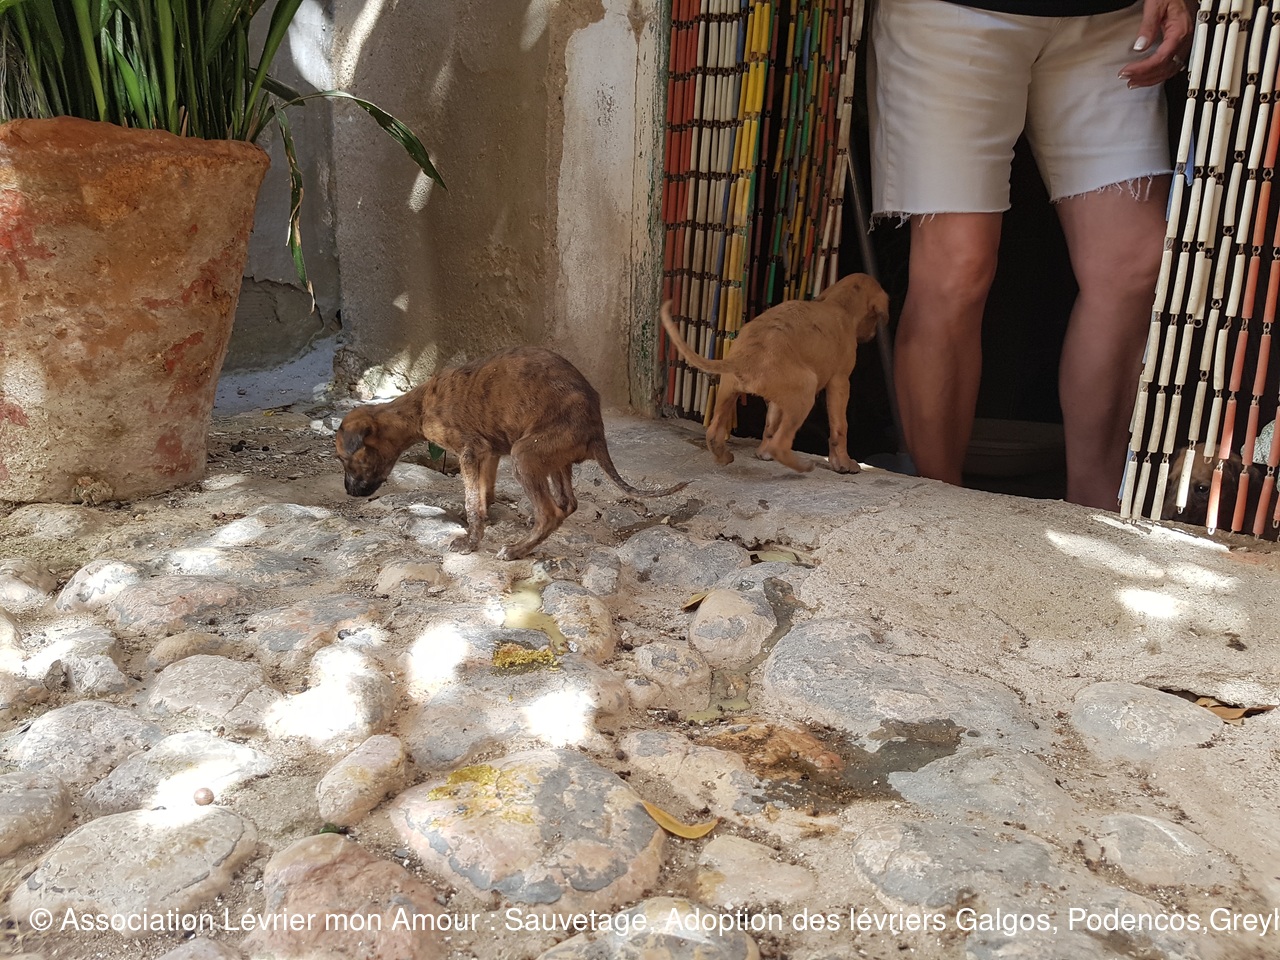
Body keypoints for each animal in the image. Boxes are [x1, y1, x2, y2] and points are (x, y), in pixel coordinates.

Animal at [336, 346, 689, 560]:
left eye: (344, 458)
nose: (349, 492)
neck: (418, 407)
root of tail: (597, 431)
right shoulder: (488, 452)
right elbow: (483, 495)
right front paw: (481, 520)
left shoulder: (470, 450)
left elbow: (471, 500)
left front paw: (470, 541)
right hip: (552, 458)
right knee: (567, 503)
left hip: (525, 455)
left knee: (551, 512)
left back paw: (518, 550)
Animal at [660, 273, 889, 473]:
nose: (872, 335)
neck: (839, 304)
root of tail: (744, 357)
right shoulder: (840, 382)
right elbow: (840, 427)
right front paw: (843, 464)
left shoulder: (778, 400)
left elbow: (771, 423)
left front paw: (763, 453)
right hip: (805, 390)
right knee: (781, 444)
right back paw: (803, 467)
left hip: (728, 391)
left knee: (714, 433)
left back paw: (726, 456)